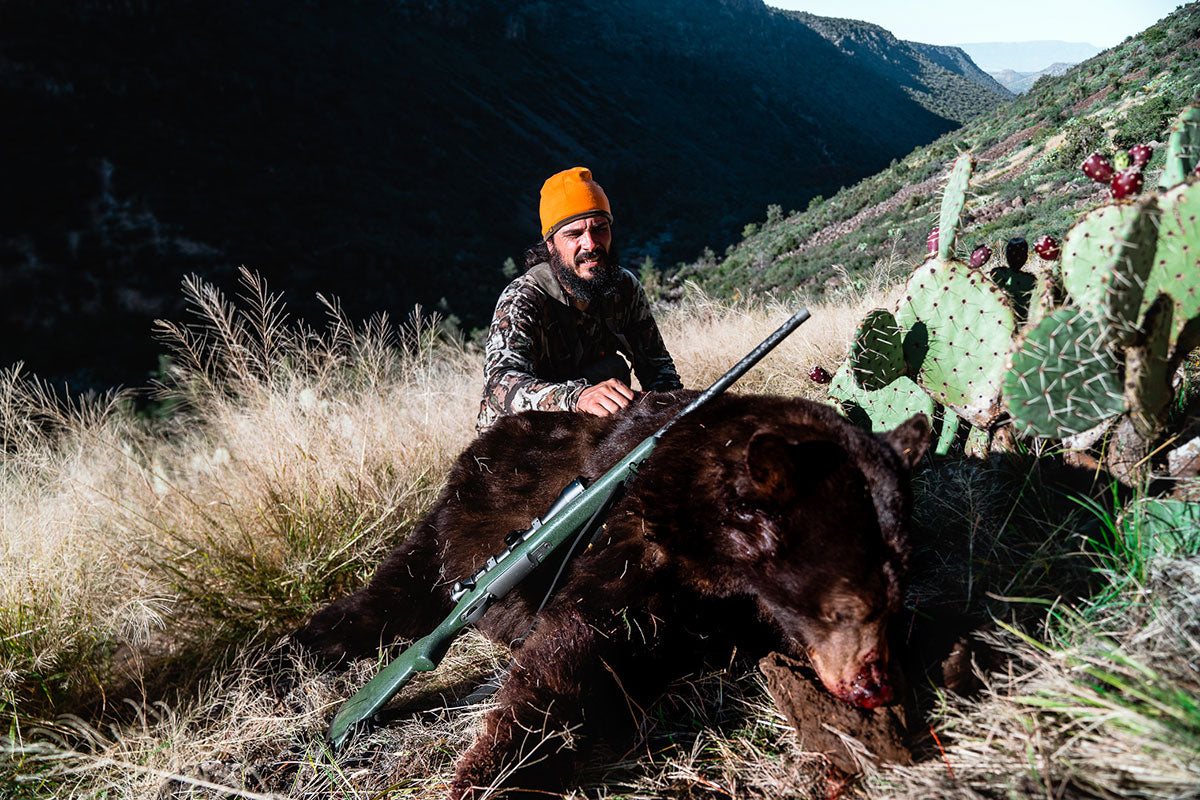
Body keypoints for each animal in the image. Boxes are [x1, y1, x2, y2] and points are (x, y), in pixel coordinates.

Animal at [290, 391, 926, 796]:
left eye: (895, 600)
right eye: (842, 607)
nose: (873, 685)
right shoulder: (628, 534)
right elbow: (575, 651)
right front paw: (493, 773)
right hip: (452, 523)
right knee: (393, 593)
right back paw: (301, 658)